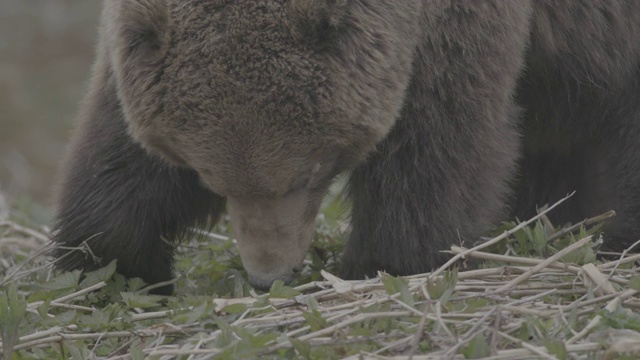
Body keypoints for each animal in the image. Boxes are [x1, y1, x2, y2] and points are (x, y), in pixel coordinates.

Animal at [50, 0, 640, 294]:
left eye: (305, 173)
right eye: (205, 173)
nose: (268, 275)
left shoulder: (440, 35)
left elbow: (435, 145)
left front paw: (385, 264)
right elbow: (120, 157)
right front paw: (109, 264)